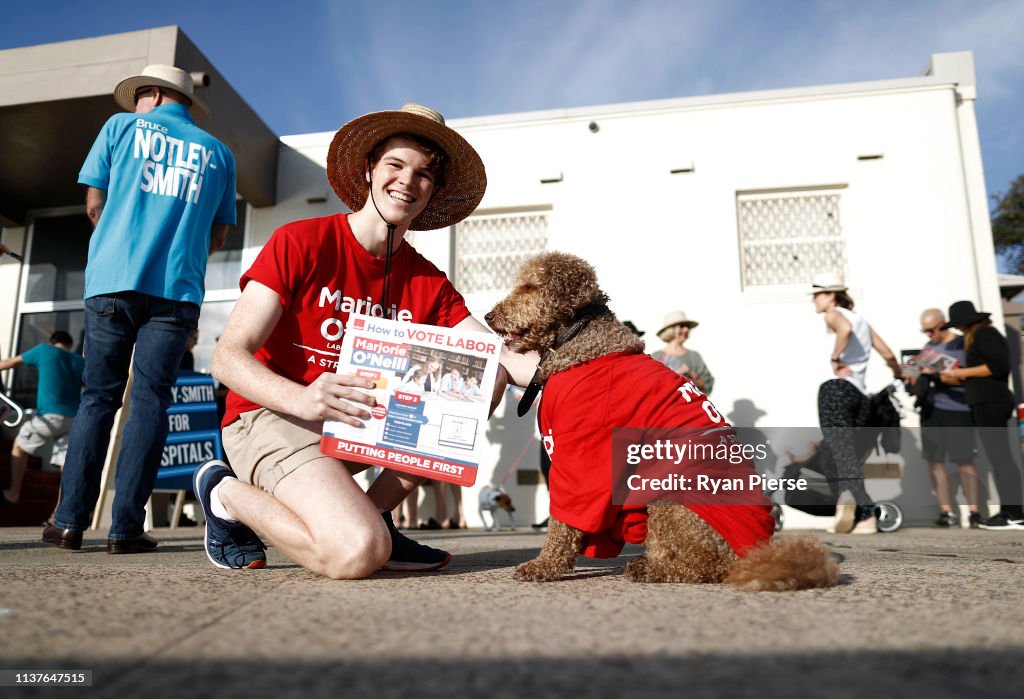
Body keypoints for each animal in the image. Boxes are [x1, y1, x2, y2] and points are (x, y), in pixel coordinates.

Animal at [487, 251, 839, 589]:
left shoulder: (584, 452)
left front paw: (544, 566)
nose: (489, 317)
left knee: (707, 568)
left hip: (670, 500)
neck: (580, 345)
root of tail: (753, 553)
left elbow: (565, 520)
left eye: (529, 287)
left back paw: (652, 570)